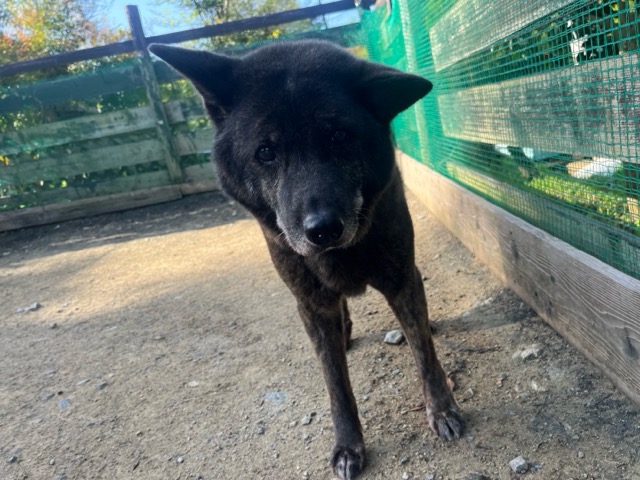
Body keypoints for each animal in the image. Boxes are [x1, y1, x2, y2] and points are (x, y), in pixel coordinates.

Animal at [149, 39, 463, 479]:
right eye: (266, 152)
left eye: (340, 136)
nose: (323, 230)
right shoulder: (310, 304)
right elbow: (336, 383)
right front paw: (348, 446)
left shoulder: (402, 278)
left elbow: (424, 354)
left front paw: (443, 409)